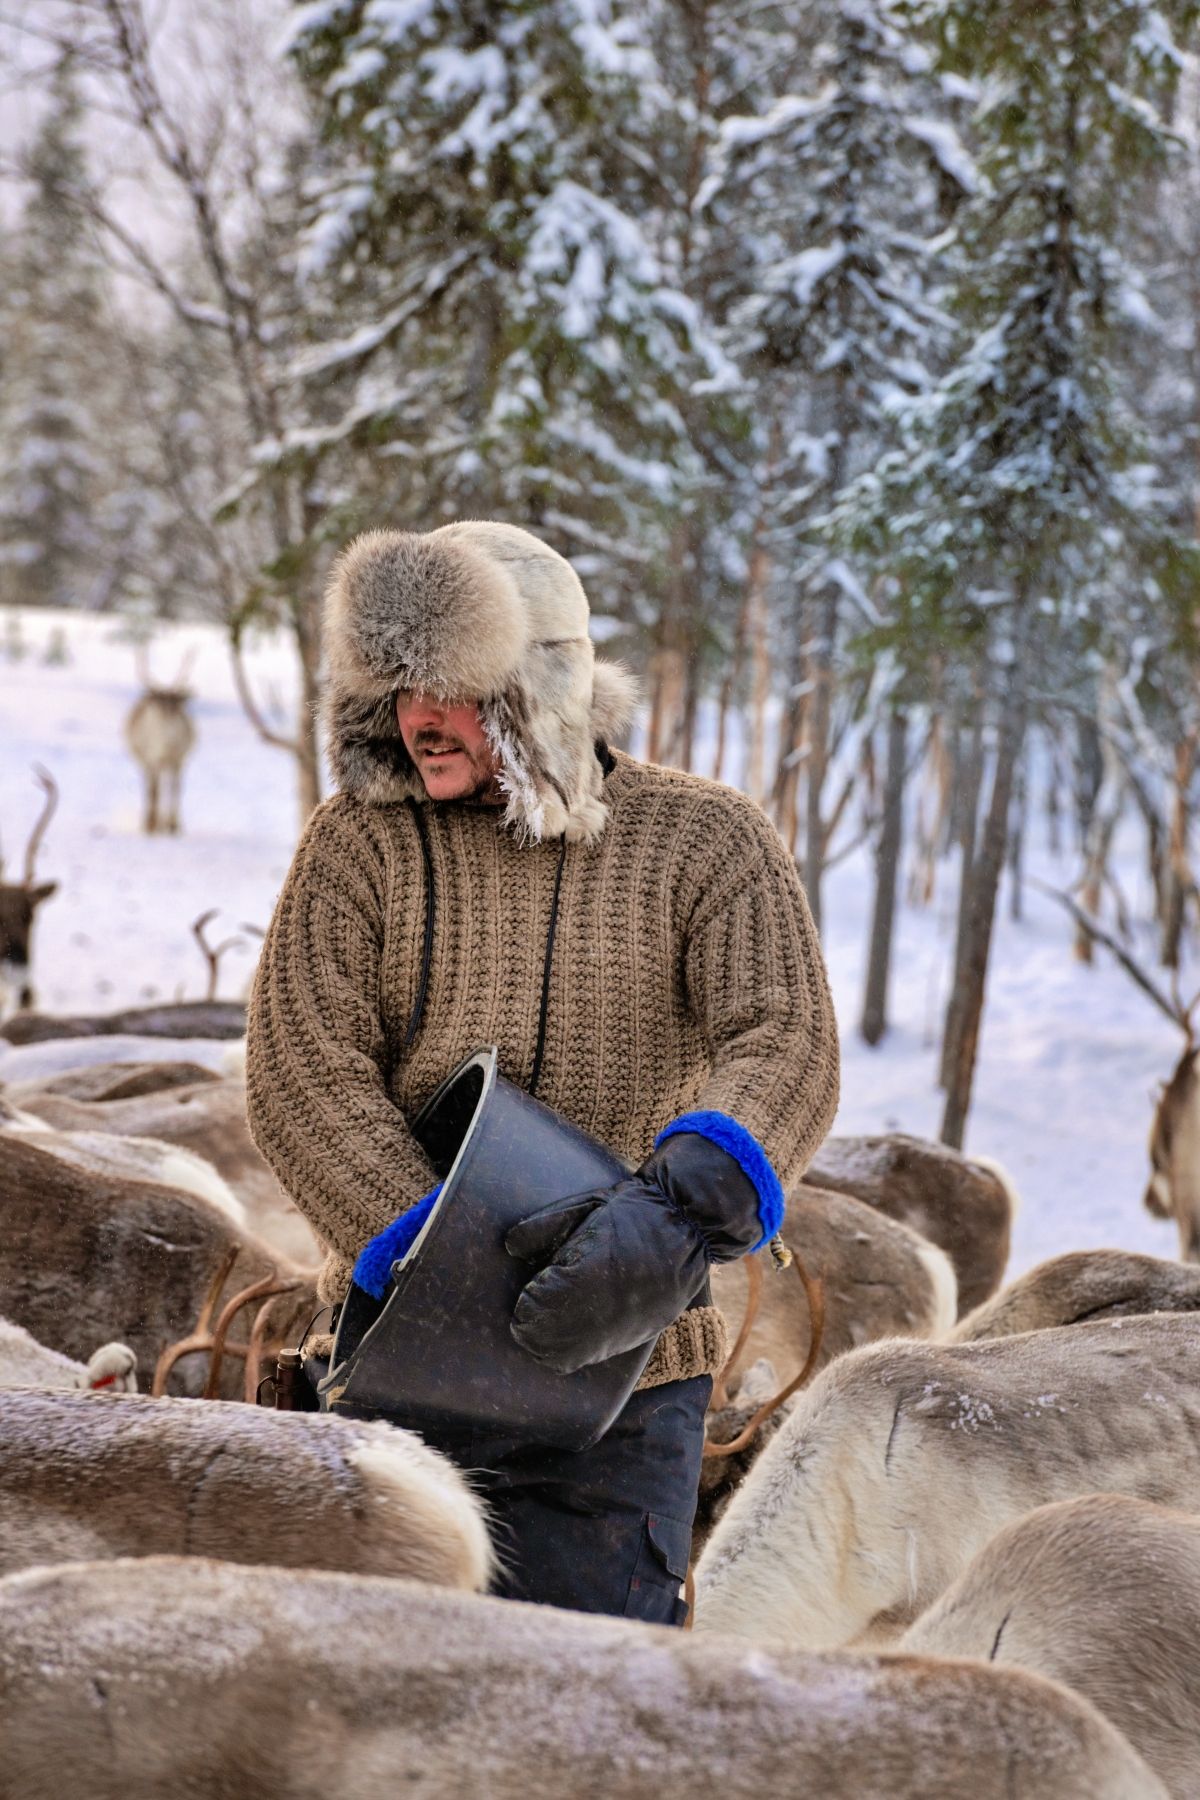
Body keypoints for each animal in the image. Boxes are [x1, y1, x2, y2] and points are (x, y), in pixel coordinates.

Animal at [124, 648, 197, 834]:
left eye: (176, 705)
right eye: (159, 703)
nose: (167, 718)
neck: (167, 747)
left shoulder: (179, 760)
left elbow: (176, 789)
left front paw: (174, 825)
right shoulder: (153, 759)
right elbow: (154, 790)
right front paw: (151, 825)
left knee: (165, 786)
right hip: (144, 761)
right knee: (150, 786)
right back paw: (151, 822)